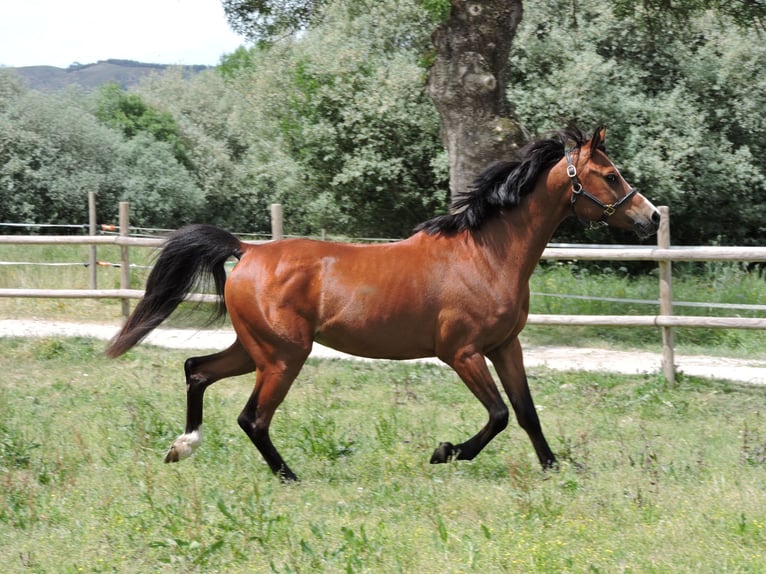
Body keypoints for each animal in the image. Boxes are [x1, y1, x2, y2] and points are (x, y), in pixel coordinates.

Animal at [105, 127, 664, 482]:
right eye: (610, 175)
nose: (652, 217)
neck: (486, 254)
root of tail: (248, 251)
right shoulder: (461, 353)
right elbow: (499, 414)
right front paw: (445, 452)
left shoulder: (507, 346)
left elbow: (526, 413)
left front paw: (554, 467)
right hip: (283, 357)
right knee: (252, 419)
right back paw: (290, 477)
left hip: (256, 349)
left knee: (197, 370)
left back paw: (182, 447)